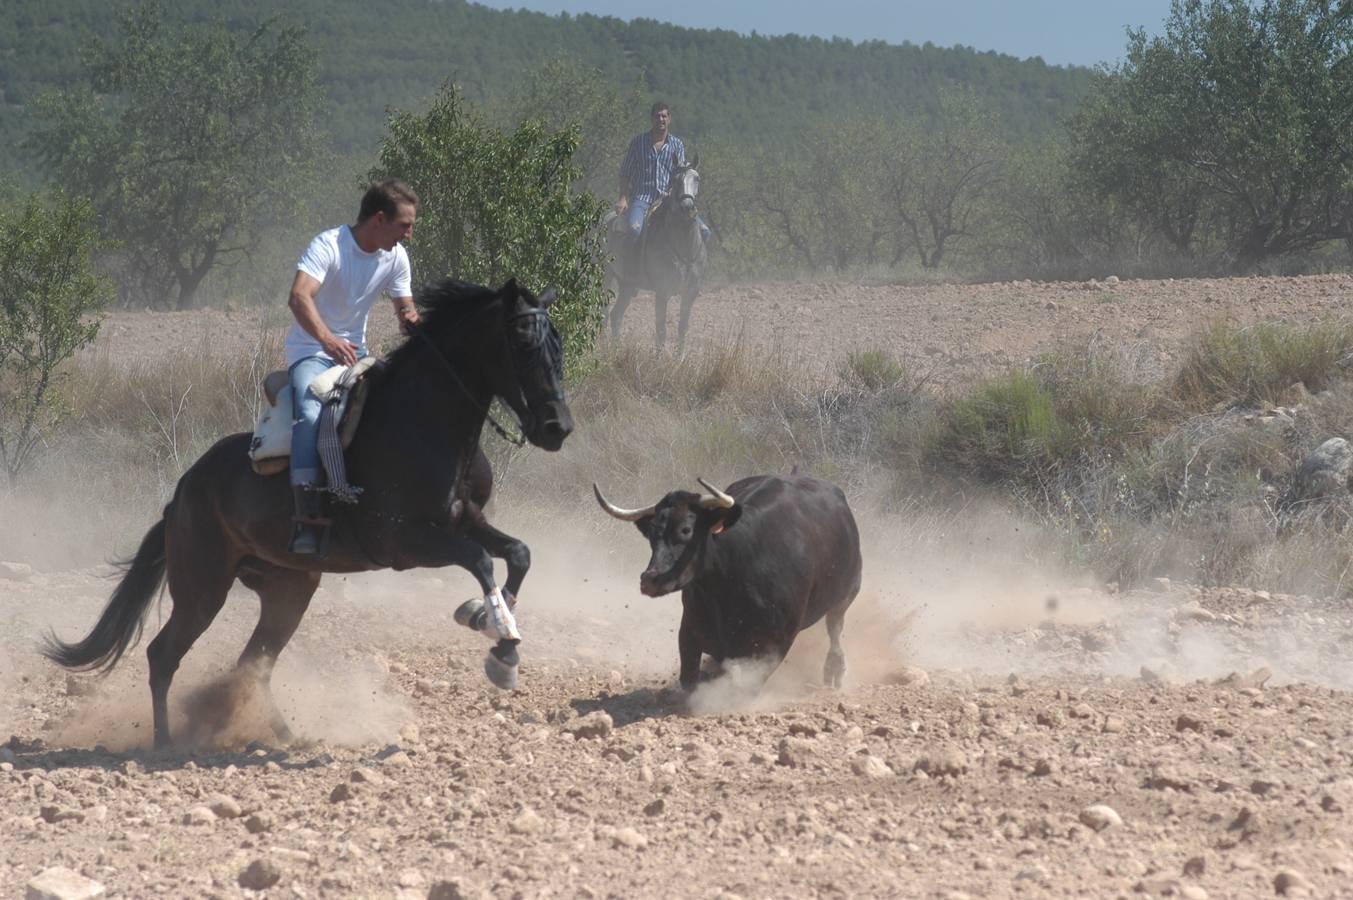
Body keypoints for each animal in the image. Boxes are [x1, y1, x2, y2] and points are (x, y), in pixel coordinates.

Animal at [42, 277, 570, 747]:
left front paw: (492, 628)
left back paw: (286, 736)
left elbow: (518, 554)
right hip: (201, 589)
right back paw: (165, 744)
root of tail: (182, 494)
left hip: (288, 589)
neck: (424, 422)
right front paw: (499, 642)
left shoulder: (468, 520)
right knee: (162, 655)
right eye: (523, 345)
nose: (557, 427)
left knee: (252, 664)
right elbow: (481, 561)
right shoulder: (406, 542)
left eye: (558, 346)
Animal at [595, 473, 865, 690]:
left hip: (847, 593)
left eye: (686, 530)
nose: (650, 579)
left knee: (835, 627)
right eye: (652, 534)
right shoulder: (690, 629)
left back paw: (834, 671)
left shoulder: (775, 642)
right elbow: (689, 676)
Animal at [606, 157, 703, 346]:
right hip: (604, 278)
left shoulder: (690, 293)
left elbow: (682, 330)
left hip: (627, 286)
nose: (687, 207)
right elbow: (661, 332)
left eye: (696, 178)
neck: (684, 249)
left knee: (616, 316)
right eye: (675, 180)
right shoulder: (662, 291)